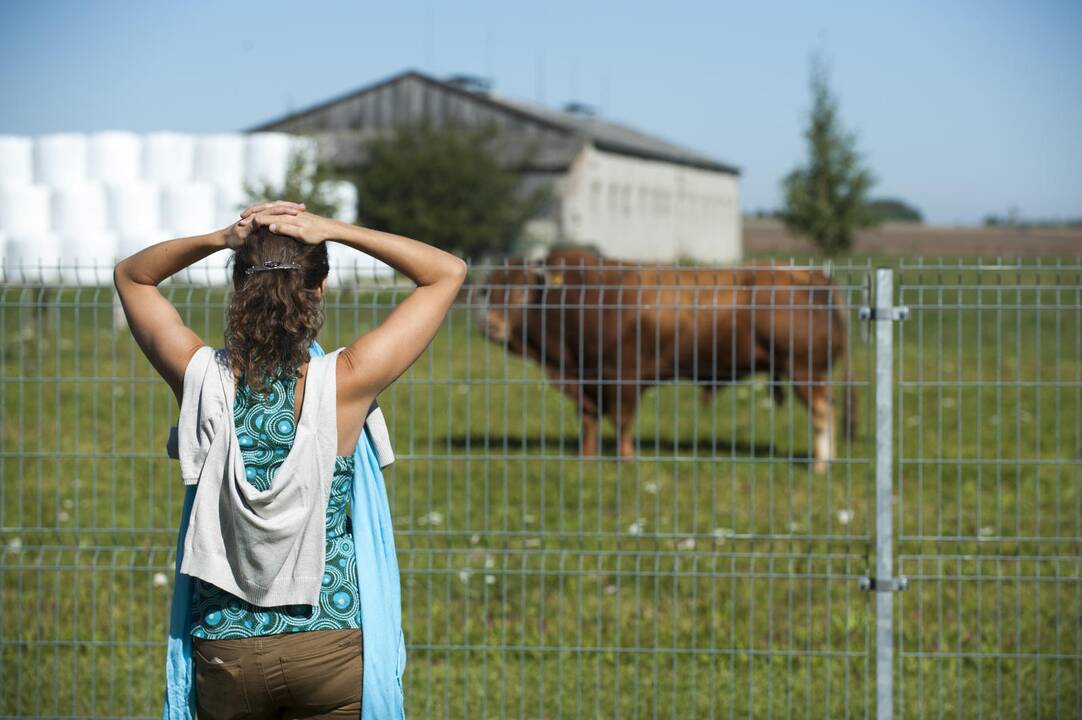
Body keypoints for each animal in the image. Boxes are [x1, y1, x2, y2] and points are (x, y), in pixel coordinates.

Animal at [473, 246, 852, 472]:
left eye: (521, 291)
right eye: (489, 291)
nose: (488, 325)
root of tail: (812, 275)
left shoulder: (622, 373)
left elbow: (622, 419)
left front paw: (626, 460)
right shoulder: (584, 375)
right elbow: (589, 419)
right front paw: (587, 457)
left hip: (802, 368)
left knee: (822, 411)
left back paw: (821, 464)